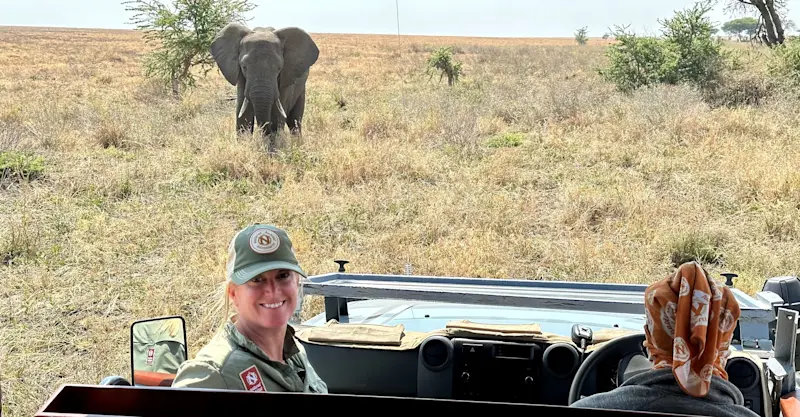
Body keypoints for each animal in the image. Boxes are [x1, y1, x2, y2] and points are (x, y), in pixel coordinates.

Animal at [210, 23, 319, 153]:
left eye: (279, 68)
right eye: (244, 67)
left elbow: (277, 116)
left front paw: (273, 150)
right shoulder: (241, 77)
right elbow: (244, 115)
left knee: (295, 120)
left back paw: (298, 145)